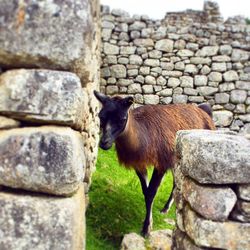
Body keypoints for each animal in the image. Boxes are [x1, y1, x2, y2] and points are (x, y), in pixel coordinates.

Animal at [94, 90, 215, 236]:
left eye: (122, 118)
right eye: (101, 116)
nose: (104, 142)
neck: (143, 136)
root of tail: (202, 110)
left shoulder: (162, 161)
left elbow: (151, 192)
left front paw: (146, 228)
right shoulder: (139, 164)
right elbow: (146, 192)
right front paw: (148, 222)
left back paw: (166, 208)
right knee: (176, 182)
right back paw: (165, 208)